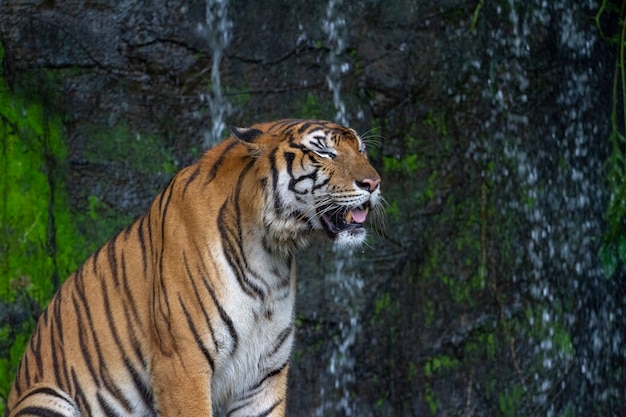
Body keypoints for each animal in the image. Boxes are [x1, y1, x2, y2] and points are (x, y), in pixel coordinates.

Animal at [4, 118, 380, 416]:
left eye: (361, 150)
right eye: (324, 152)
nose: (374, 184)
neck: (270, 255)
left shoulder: (263, 374)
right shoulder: (182, 362)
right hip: (46, 396)